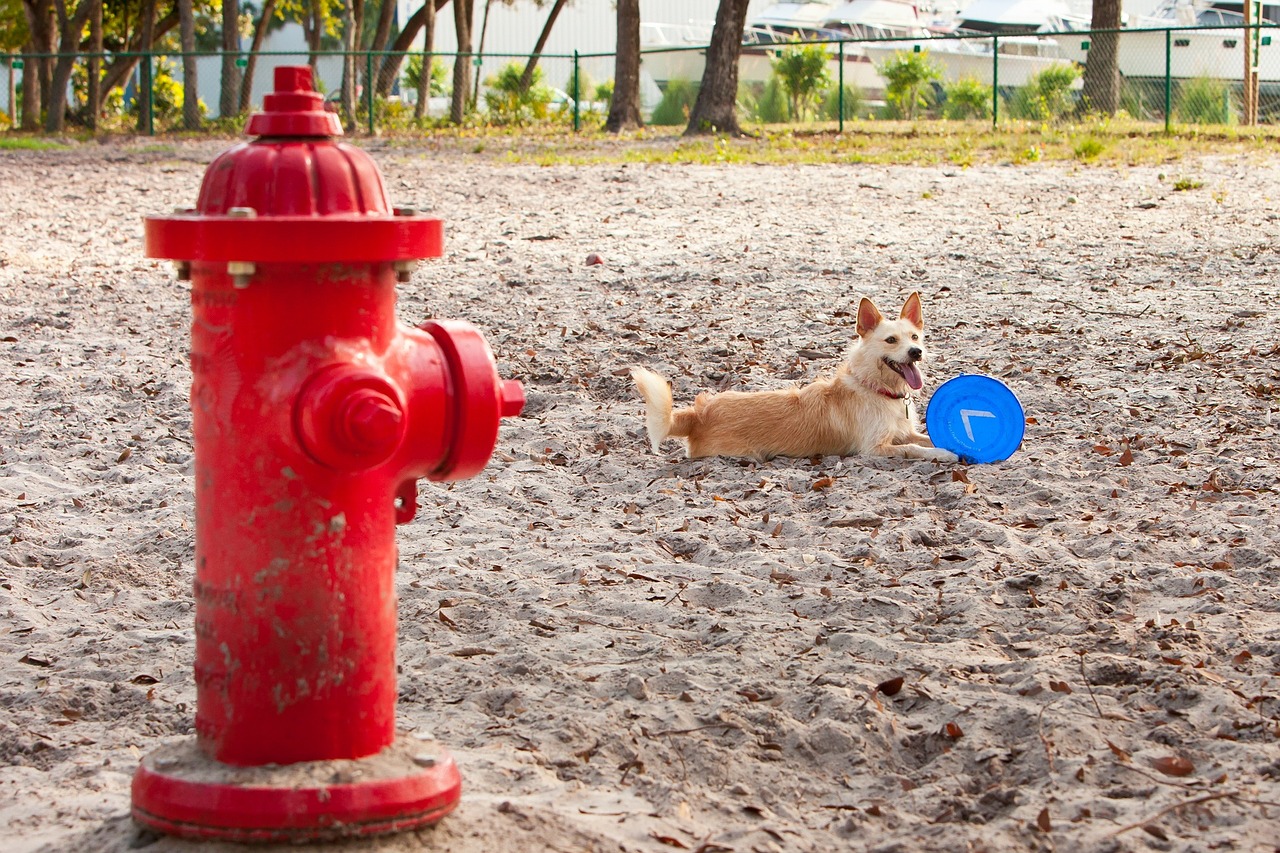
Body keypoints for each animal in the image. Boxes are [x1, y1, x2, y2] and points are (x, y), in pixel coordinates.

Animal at [634, 292, 957, 466]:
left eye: (914, 337)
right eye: (891, 340)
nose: (916, 352)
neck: (877, 389)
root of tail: (698, 414)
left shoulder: (903, 432)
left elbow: (923, 438)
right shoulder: (874, 449)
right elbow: (913, 449)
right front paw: (944, 454)